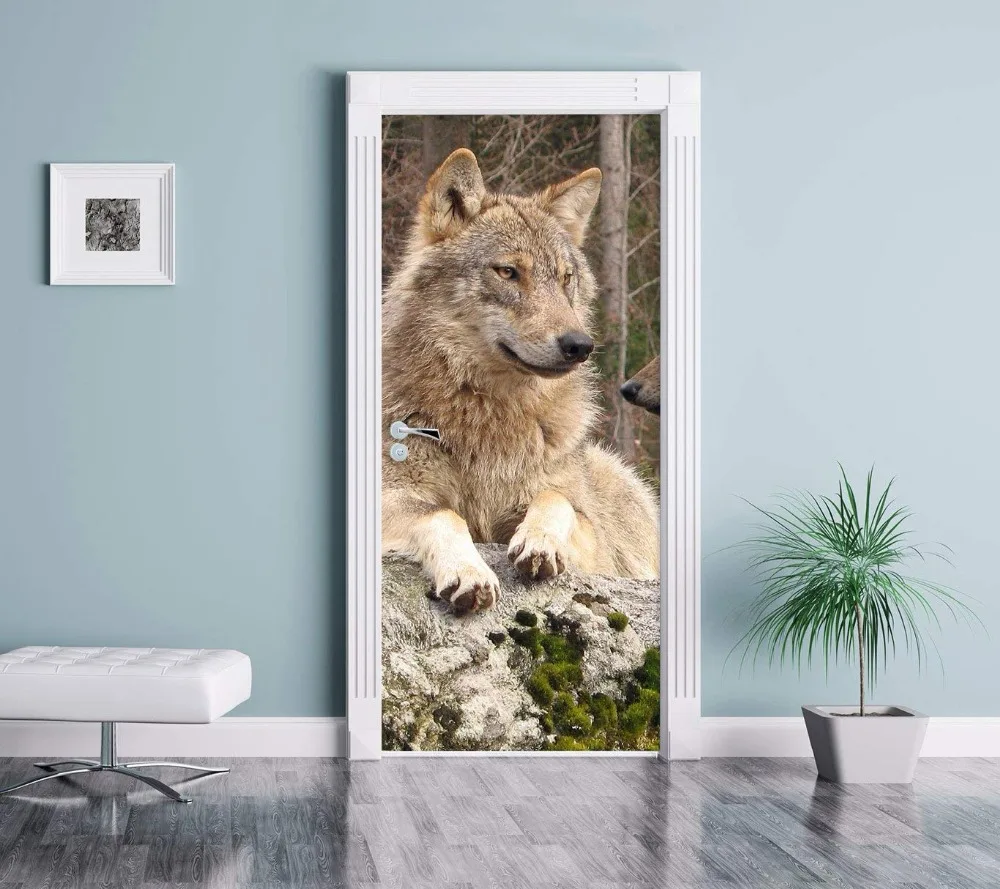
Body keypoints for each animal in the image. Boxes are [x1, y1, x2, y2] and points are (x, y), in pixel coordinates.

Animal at [381, 149, 659, 612]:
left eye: (566, 278)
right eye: (509, 272)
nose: (580, 345)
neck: (489, 411)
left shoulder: (590, 537)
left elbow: (556, 500)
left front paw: (540, 542)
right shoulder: (392, 494)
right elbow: (443, 514)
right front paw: (468, 570)